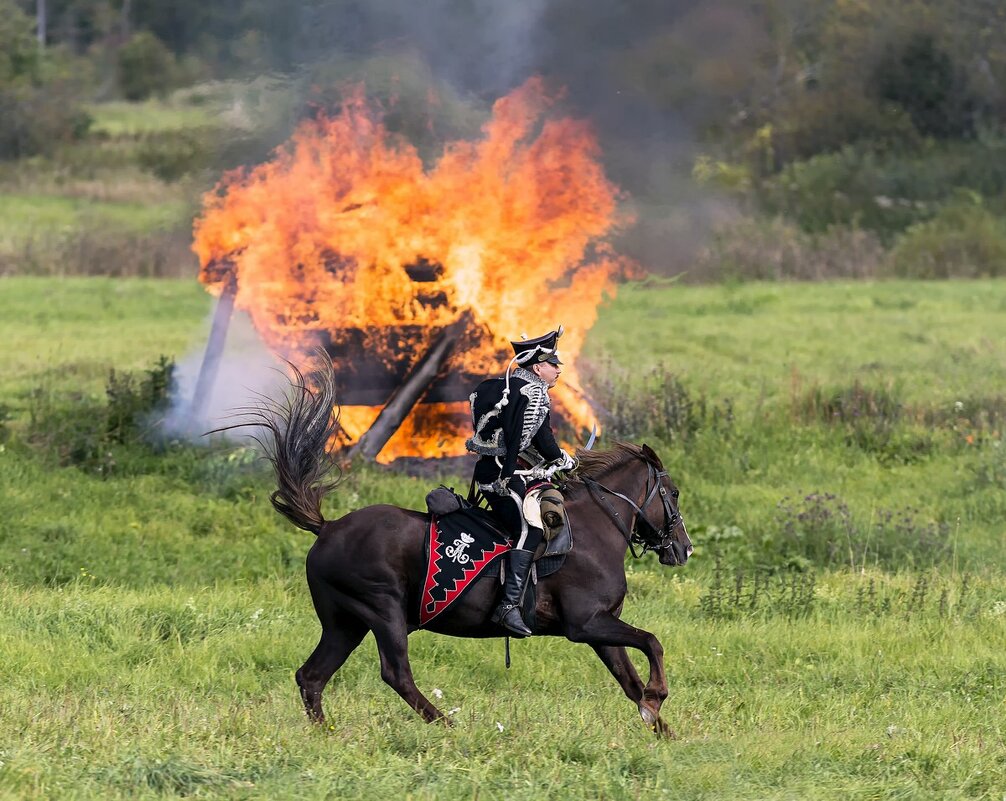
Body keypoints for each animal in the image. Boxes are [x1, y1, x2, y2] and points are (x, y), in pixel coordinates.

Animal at [247, 360, 696, 736]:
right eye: (673, 492)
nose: (684, 549)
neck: (593, 530)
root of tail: (327, 528)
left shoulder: (601, 629)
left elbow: (631, 680)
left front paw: (661, 727)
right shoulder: (585, 624)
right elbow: (652, 642)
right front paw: (658, 699)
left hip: (346, 623)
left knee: (312, 676)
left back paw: (327, 733)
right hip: (382, 611)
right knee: (395, 673)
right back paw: (446, 724)